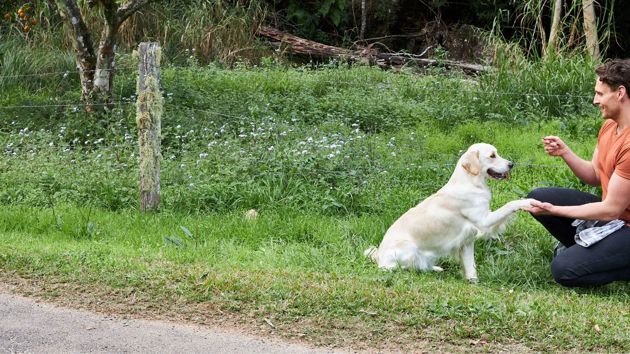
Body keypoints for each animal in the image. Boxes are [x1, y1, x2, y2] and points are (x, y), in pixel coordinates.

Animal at [366, 142, 540, 284]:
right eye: (492, 155)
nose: (511, 164)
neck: (471, 183)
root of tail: (379, 257)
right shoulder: (483, 220)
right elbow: (509, 205)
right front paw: (526, 202)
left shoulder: (468, 240)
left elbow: (471, 266)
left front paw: (473, 281)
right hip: (409, 250)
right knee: (406, 268)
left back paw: (435, 268)